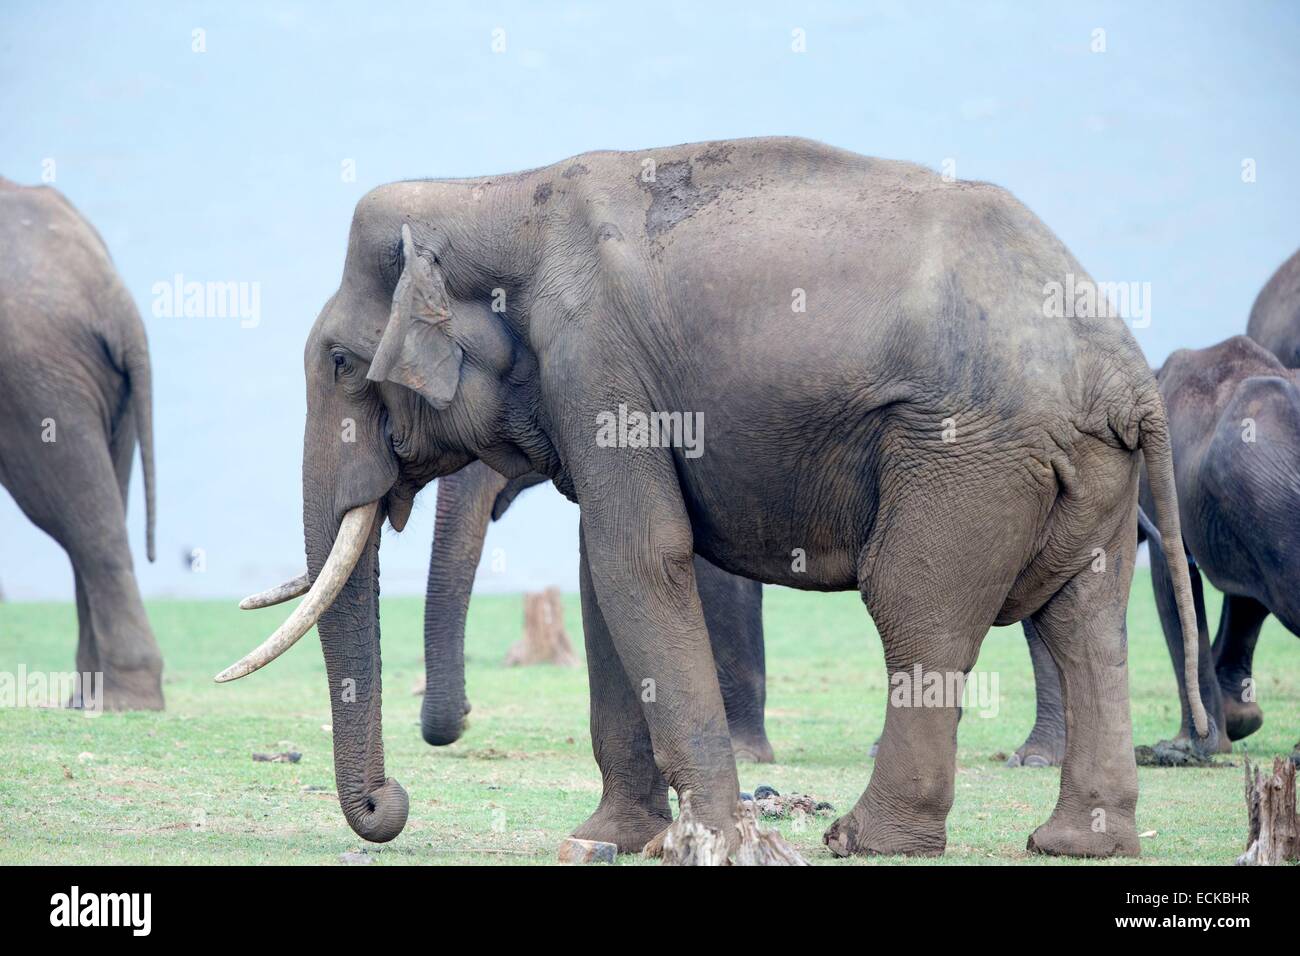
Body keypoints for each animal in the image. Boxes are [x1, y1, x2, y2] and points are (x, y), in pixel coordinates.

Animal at [0, 178, 161, 712]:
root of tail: (116, 299)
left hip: (35, 374)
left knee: (80, 520)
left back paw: (120, 702)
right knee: (92, 511)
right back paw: (89, 700)